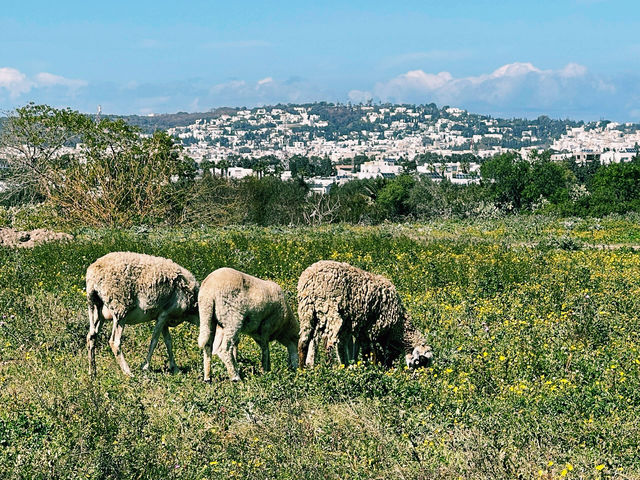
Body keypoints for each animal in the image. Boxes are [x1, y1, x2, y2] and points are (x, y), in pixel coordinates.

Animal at [298, 260, 432, 370]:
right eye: (421, 361)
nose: (415, 375)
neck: (397, 327)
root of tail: (311, 281)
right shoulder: (371, 330)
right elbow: (368, 352)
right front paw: (368, 367)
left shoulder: (357, 329)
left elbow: (352, 348)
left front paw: (352, 365)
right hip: (331, 311)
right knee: (328, 343)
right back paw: (329, 369)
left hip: (307, 311)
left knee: (305, 341)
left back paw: (304, 369)